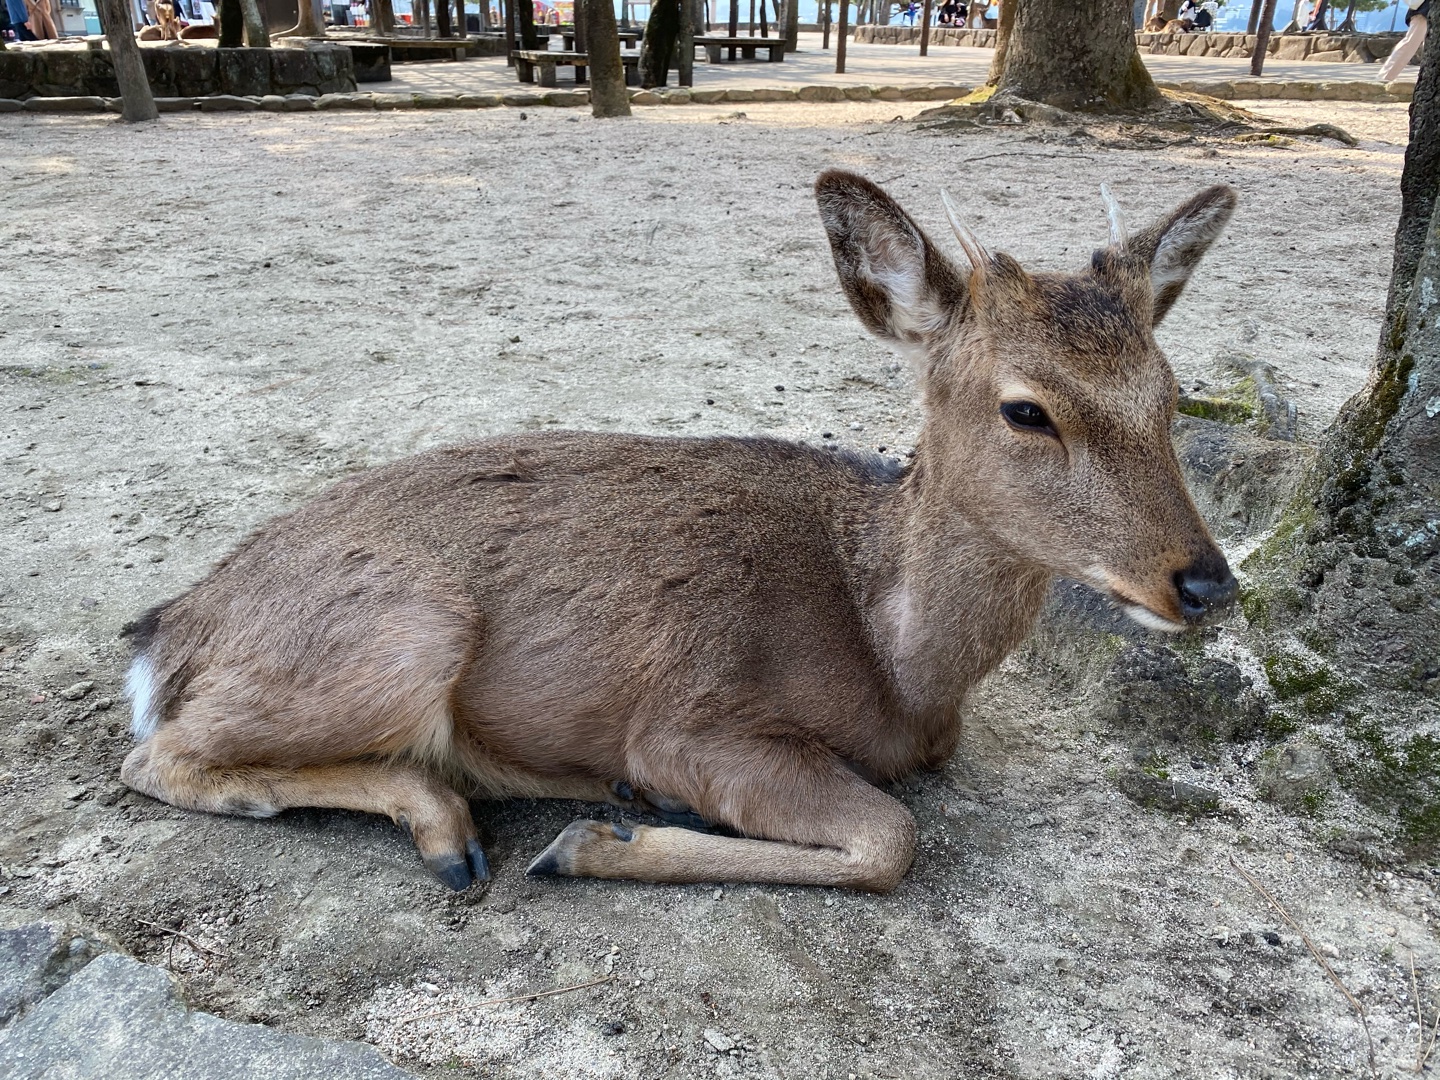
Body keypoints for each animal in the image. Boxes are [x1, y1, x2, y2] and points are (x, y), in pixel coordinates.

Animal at [120, 171, 1239, 894]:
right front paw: (592, 842)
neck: (899, 668)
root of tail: (170, 628)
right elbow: (891, 839)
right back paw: (448, 829)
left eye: (1174, 397)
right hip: (406, 631)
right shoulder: (690, 723)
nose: (1207, 583)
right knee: (153, 758)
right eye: (1025, 410)